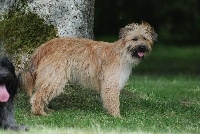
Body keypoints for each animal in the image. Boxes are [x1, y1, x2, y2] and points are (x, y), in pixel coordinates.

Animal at [18, 22, 157, 117]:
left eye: (145, 39)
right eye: (134, 39)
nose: (142, 48)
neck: (122, 53)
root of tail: (46, 45)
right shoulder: (111, 84)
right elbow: (113, 101)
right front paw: (117, 116)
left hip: (52, 77)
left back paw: (46, 109)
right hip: (55, 77)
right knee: (37, 96)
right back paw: (40, 113)